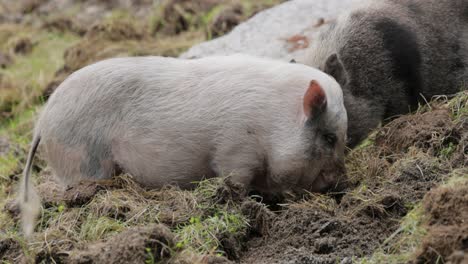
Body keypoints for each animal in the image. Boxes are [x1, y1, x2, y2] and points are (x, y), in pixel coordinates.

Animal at [19, 53, 348, 235]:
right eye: (329, 137)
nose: (341, 184)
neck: (274, 123)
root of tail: (43, 120)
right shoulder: (235, 150)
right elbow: (235, 183)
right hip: (85, 164)